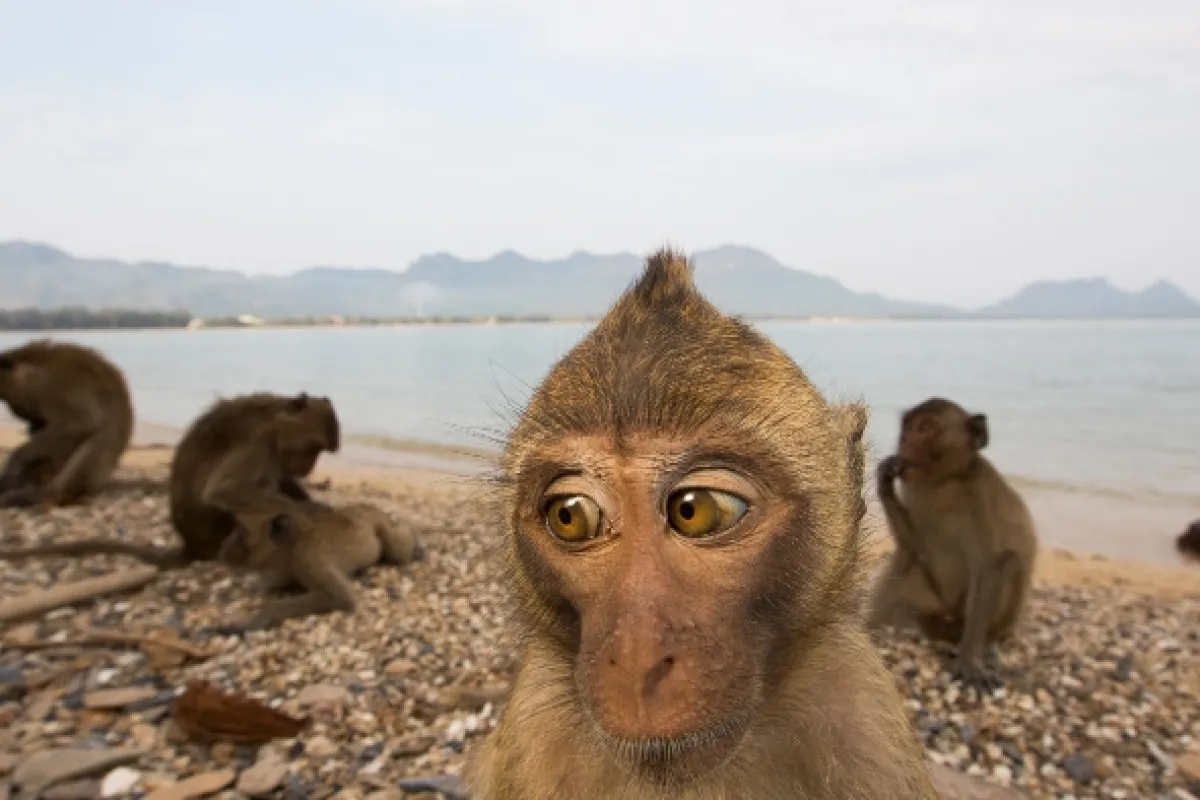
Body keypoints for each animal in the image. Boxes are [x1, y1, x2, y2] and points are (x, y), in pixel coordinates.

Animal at [0, 339, 134, 508]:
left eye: (11, 402)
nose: (15, 411)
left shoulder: (58, 387)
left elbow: (83, 423)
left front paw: (17, 459)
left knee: (99, 438)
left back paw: (45, 495)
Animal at [0, 392, 339, 568]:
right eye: (313, 450)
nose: (309, 466)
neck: (274, 417)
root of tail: (192, 545)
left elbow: (282, 479)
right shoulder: (258, 442)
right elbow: (224, 490)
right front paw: (313, 510)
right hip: (218, 533)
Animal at [208, 501, 421, 633]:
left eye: (241, 536)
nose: (222, 549)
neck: (293, 545)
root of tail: (367, 506)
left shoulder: (308, 560)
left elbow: (339, 596)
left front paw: (258, 617)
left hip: (380, 523)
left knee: (396, 548)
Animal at [868, 397, 1039, 690]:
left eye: (926, 428)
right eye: (908, 427)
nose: (905, 442)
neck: (944, 483)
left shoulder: (981, 501)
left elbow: (987, 570)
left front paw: (970, 661)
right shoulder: (912, 487)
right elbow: (912, 545)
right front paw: (884, 479)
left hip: (982, 621)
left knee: (1009, 563)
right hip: (933, 602)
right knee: (904, 563)